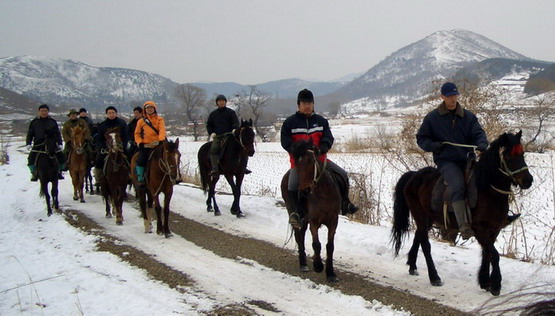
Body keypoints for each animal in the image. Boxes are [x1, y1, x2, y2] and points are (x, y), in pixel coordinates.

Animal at [390, 131, 536, 296]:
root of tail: (414, 175)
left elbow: (487, 253)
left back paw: (412, 266)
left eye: (522, 154)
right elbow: (494, 254)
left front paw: (485, 281)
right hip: (419, 215)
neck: (488, 190)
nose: (528, 180)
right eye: (509, 156)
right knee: (425, 245)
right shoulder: (480, 229)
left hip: (428, 219)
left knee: (418, 237)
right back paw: (434, 277)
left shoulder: (494, 229)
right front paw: (496, 285)